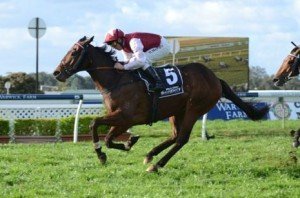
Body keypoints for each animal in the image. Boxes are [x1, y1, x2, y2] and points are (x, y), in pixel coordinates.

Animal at [52, 36, 268, 172]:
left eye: (74, 52)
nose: (56, 72)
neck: (117, 80)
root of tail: (215, 78)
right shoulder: (123, 120)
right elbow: (108, 137)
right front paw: (128, 143)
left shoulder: (126, 116)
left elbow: (94, 124)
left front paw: (100, 154)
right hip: (176, 111)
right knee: (175, 135)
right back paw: (150, 155)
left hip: (195, 108)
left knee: (182, 139)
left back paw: (156, 165)